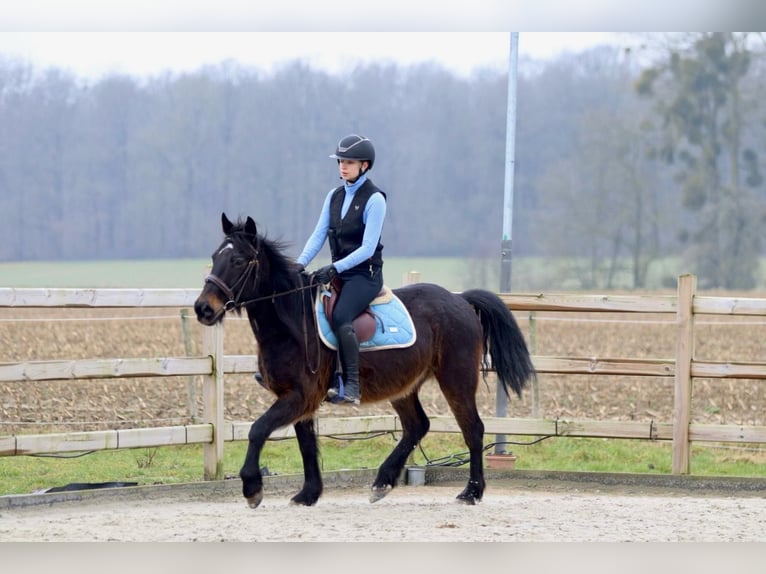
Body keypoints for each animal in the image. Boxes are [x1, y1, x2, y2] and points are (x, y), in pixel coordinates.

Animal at [195, 215, 536, 508]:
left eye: (238, 261)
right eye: (214, 257)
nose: (203, 309)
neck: (291, 323)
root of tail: (460, 299)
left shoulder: (299, 396)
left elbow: (258, 429)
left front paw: (252, 487)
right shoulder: (299, 399)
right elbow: (306, 443)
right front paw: (308, 494)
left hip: (457, 379)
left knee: (473, 429)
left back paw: (471, 492)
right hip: (403, 385)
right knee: (417, 426)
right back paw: (383, 482)